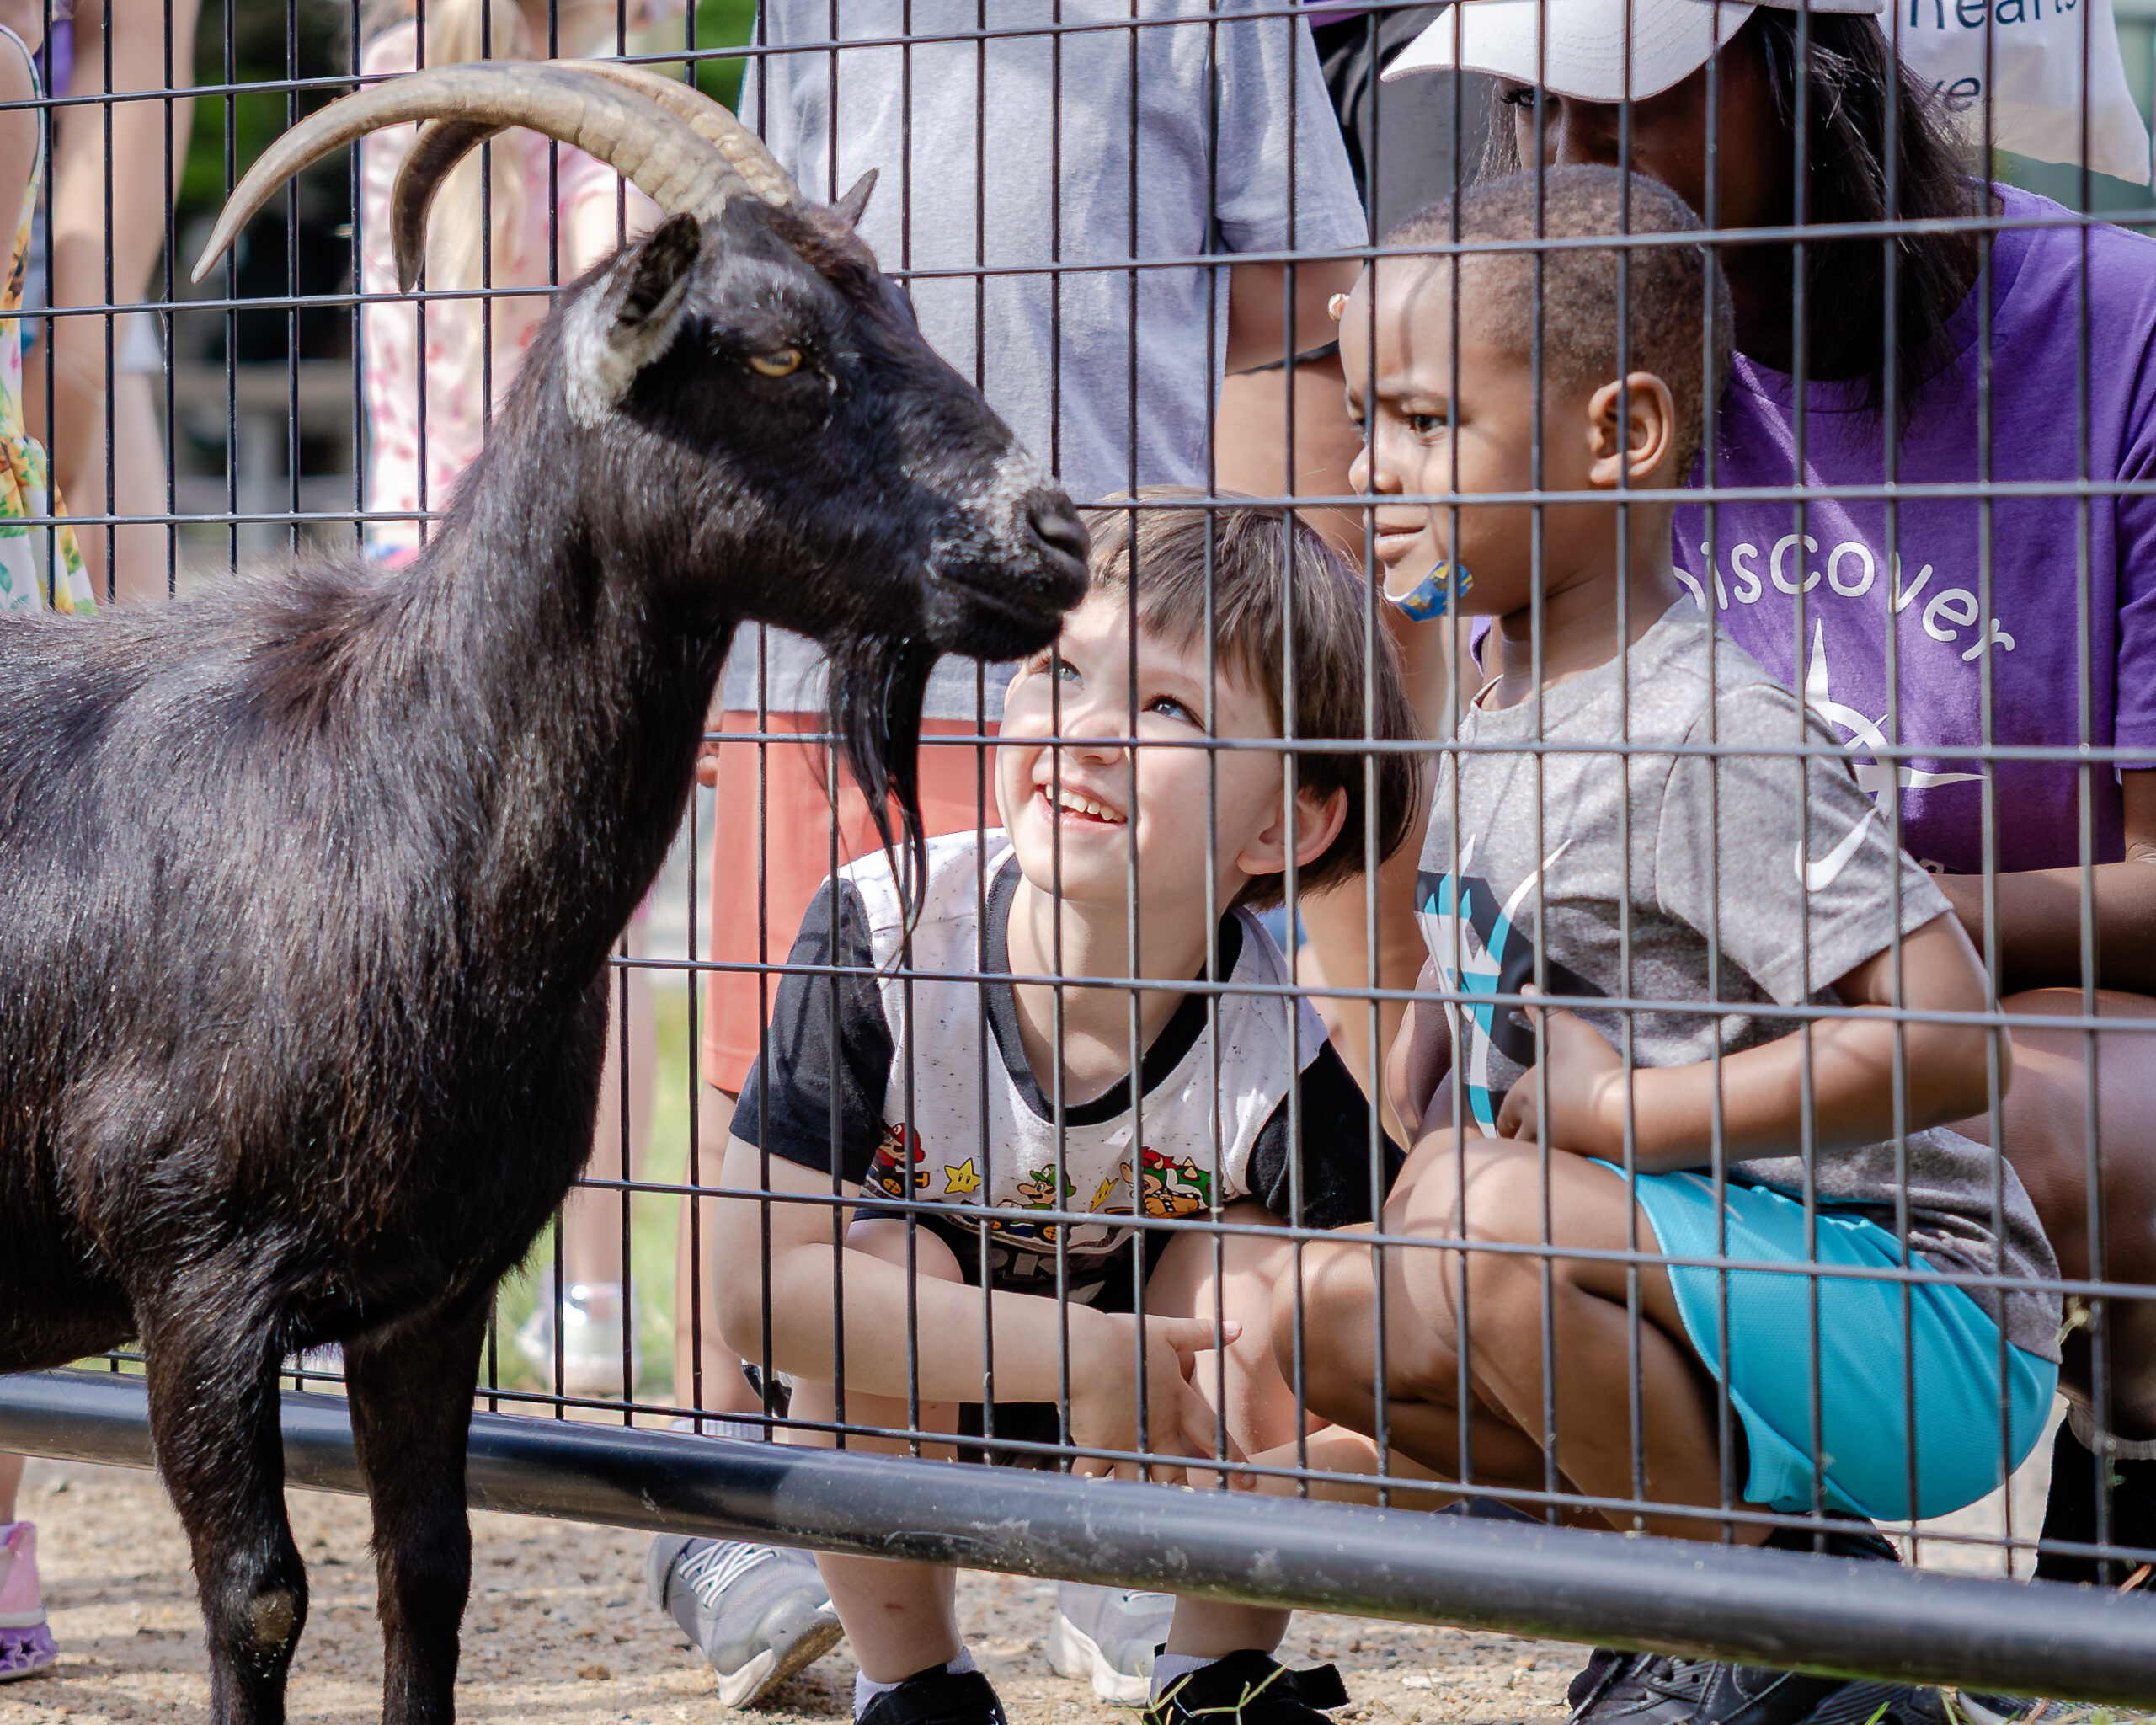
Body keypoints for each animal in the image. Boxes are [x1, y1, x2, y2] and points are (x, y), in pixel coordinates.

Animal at [0, 61, 1086, 1725]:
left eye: (899, 307)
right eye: (778, 346)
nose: (1060, 539)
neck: (389, 811)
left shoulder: (432, 1291)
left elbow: (427, 1571)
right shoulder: (193, 1280)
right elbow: (255, 1597)